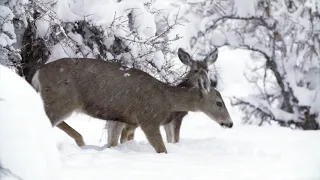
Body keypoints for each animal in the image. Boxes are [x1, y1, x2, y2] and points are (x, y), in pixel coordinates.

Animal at [32, 50, 232, 153]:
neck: (167, 100)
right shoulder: (148, 119)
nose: (230, 123)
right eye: (219, 103)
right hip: (60, 100)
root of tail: (38, 73)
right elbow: (162, 149)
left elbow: (112, 143)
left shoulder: (118, 118)